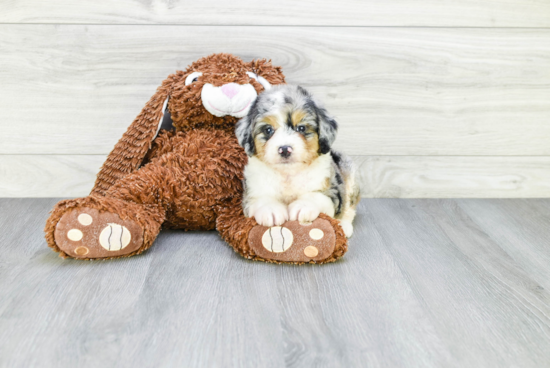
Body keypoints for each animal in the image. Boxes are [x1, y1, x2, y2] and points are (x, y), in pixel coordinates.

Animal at [235, 85, 360, 237]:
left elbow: (316, 196)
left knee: (349, 207)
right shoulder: (251, 192)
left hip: (350, 177)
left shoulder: (333, 192)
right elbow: (261, 199)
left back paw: (344, 225)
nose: (284, 149)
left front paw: (303, 206)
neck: (288, 175)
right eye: (268, 129)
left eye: (301, 128)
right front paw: (271, 209)